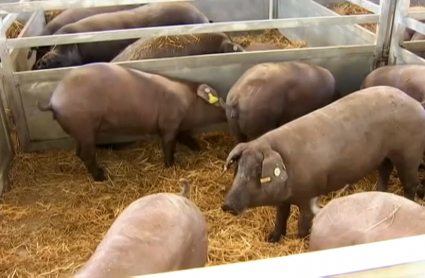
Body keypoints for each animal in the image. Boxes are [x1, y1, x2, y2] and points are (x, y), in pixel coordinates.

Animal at [36, 62, 227, 181]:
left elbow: (188, 138)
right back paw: (102, 177)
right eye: (218, 100)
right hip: (85, 128)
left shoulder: (179, 126)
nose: (228, 108)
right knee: (86, 154)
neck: (188, 102)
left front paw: (200, 150)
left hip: (79, 132)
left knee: (78, 152)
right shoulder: (169, 123)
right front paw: (170, 166)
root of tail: (53, 101)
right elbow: (169, 145)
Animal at [220, 86, 424, 242]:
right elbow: (281, 217)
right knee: (385, 171)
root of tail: (415, 103)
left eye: (257, 171)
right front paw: (272, 239)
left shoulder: (309, 194)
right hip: (384, 156)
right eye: (238, 168)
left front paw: (301, 240)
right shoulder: (284, 200)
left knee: (410, 183)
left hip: (408, 155)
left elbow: (303, 220)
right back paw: (381, 191)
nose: (227, 205)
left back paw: (410, 200)